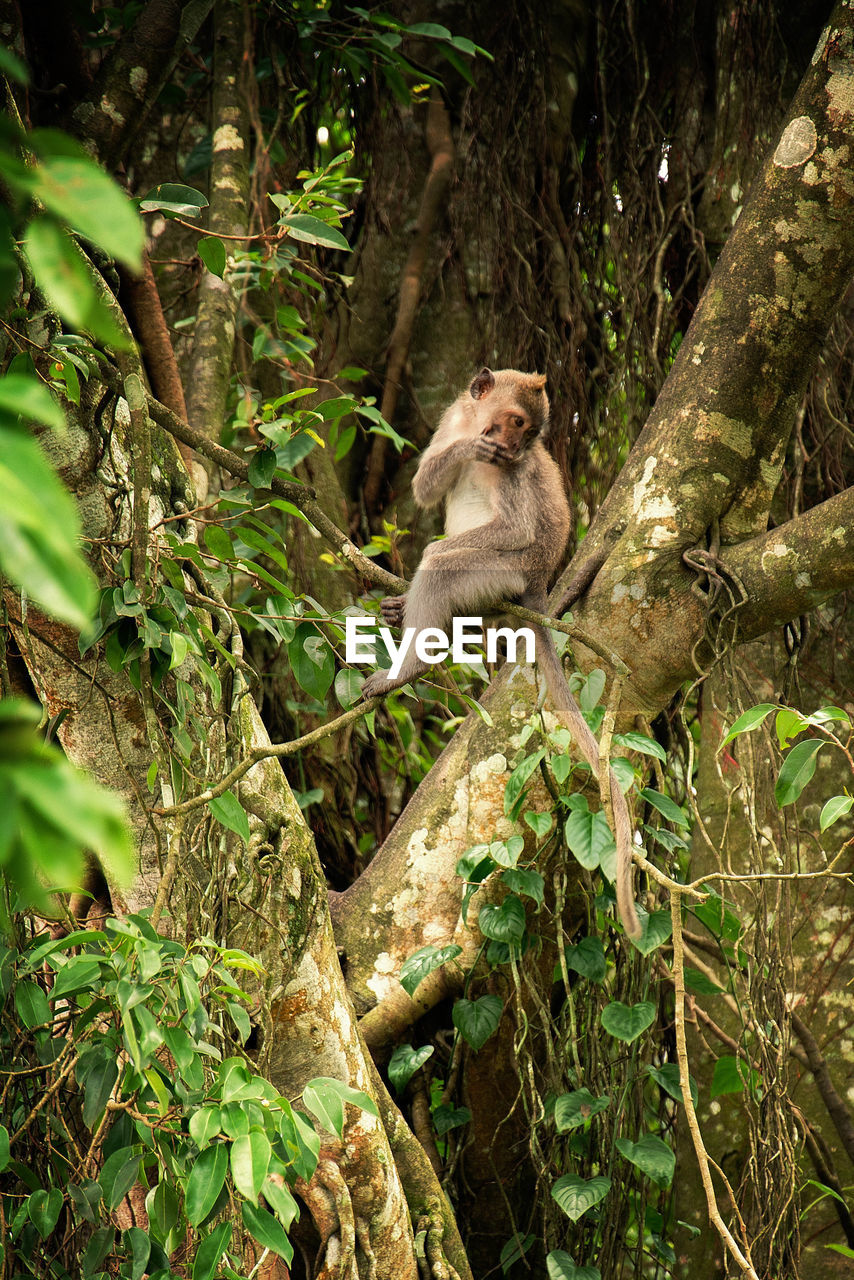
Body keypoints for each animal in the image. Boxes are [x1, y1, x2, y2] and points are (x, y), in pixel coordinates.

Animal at [361, 371, 640, 942]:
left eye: (528, 430)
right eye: (515, 421)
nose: (512, 443)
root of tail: (537, 582)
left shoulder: (516, 475)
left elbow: (513, 530)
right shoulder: (452, 420)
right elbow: (425, 488)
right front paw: (466, 451)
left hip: (500, 574)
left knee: (446, 566)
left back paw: (410, 663)